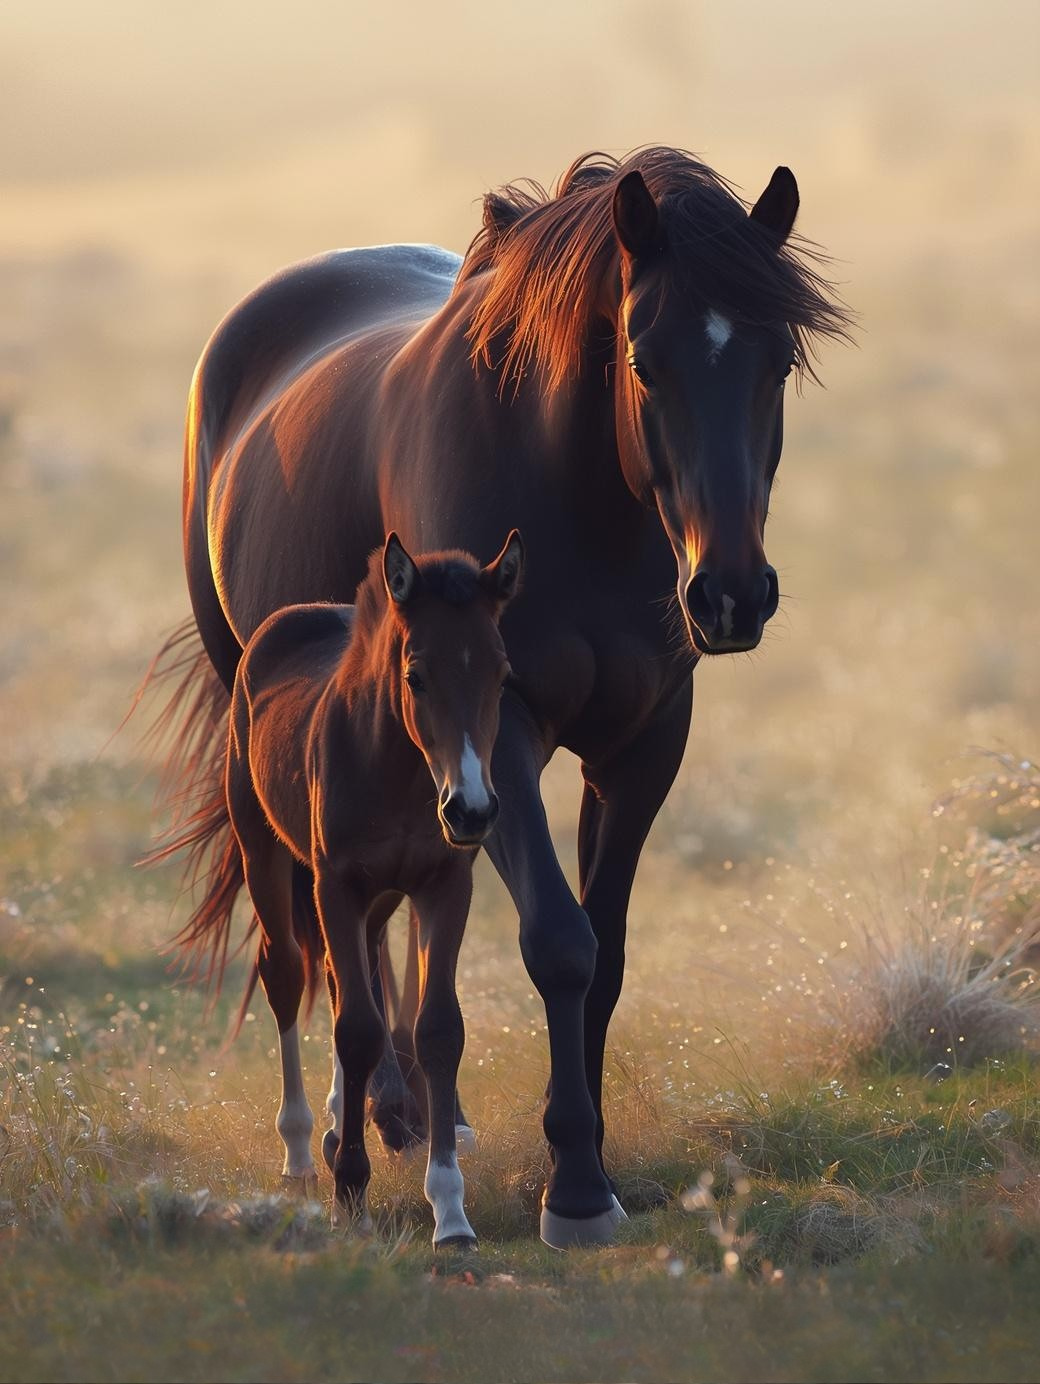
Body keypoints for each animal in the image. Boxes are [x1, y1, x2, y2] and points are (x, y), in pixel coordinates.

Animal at [222, 531, 523, 1243]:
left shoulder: (444, 884)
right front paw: (350, 1191)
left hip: (381, 899)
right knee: (287, 973)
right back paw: (302, 1151)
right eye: (416, 675)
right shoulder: (337, 884)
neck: (402, 773)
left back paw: (336, 1127)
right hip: (264, 851)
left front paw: (450, 1211)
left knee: (339, 975)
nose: (472, 810)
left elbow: (436, 1029)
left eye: (502, 675)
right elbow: (358, 1028)